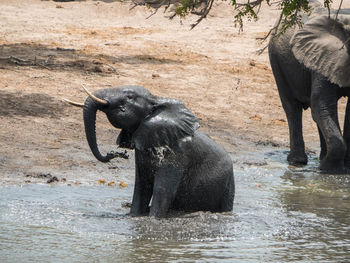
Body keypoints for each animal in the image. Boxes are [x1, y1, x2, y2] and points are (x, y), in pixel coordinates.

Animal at [77, 85, 235, 218]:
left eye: (130, 97)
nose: (114, 154)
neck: (156, 99)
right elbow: (142, 187)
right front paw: (132, 217)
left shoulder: (178, 153)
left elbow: (162, 190)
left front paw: (152, 220)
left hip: (228, 185)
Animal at [268, 0, 350, 172]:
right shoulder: (324, 56)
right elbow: (321, 103)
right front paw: (331, 170)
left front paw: (342, 167)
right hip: (277, 60)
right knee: (292, 107)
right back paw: (298, 161)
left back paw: (321, 158)